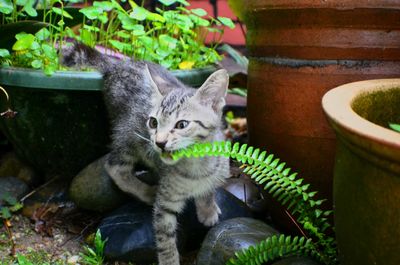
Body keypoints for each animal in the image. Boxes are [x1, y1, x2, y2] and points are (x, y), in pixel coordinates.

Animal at [63, 43, 230, 264]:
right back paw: (146, 192)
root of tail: (119, 64)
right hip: (128, 136)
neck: (196, 166)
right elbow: (165, 240)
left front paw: (207, 208)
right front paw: (170, 261)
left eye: (182, 124)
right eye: (153, 122)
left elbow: (209, 188)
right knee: (114, 166)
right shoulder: (164, 206)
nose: (159, 142)